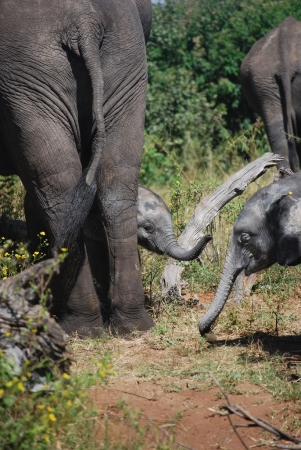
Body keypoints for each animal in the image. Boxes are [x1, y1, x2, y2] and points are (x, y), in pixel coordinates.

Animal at [0, 0, 152, 336]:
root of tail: (85, 18)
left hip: (25, 74)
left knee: (56, 189)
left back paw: (76, 324)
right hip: (127, 60)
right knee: (116, 182)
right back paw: (131, 323)